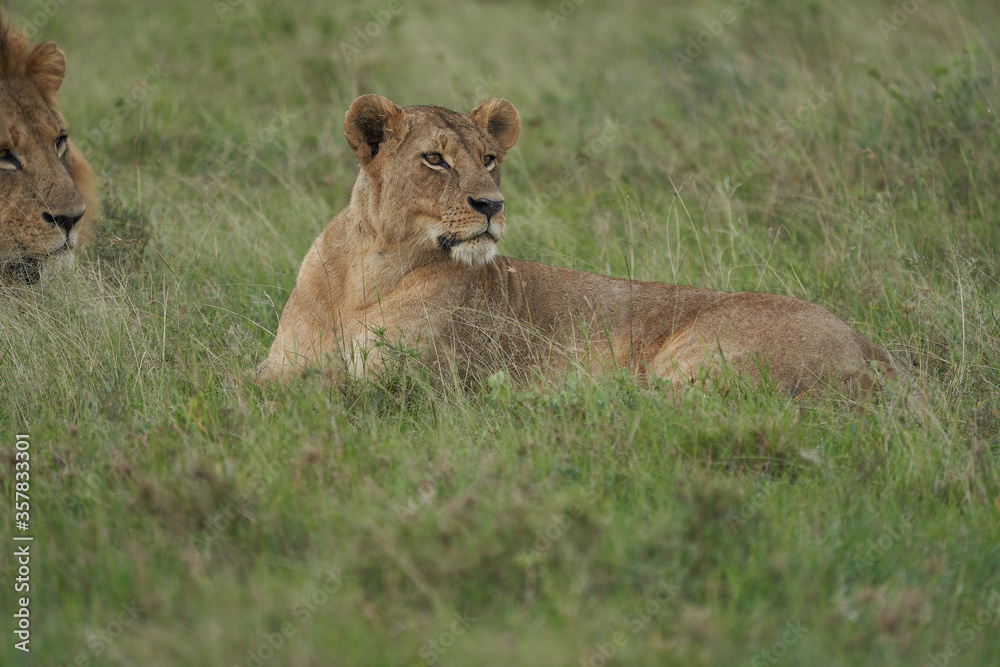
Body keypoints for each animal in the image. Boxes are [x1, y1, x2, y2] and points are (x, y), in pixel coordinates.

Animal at [256, 94, 906, 396]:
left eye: (489, 159)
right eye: (435, 159)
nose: (491, 205)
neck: (370, 266)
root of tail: (875, 349)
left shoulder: (411, 384)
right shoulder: (278, 366)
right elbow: (250, 387)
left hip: (700, 354)